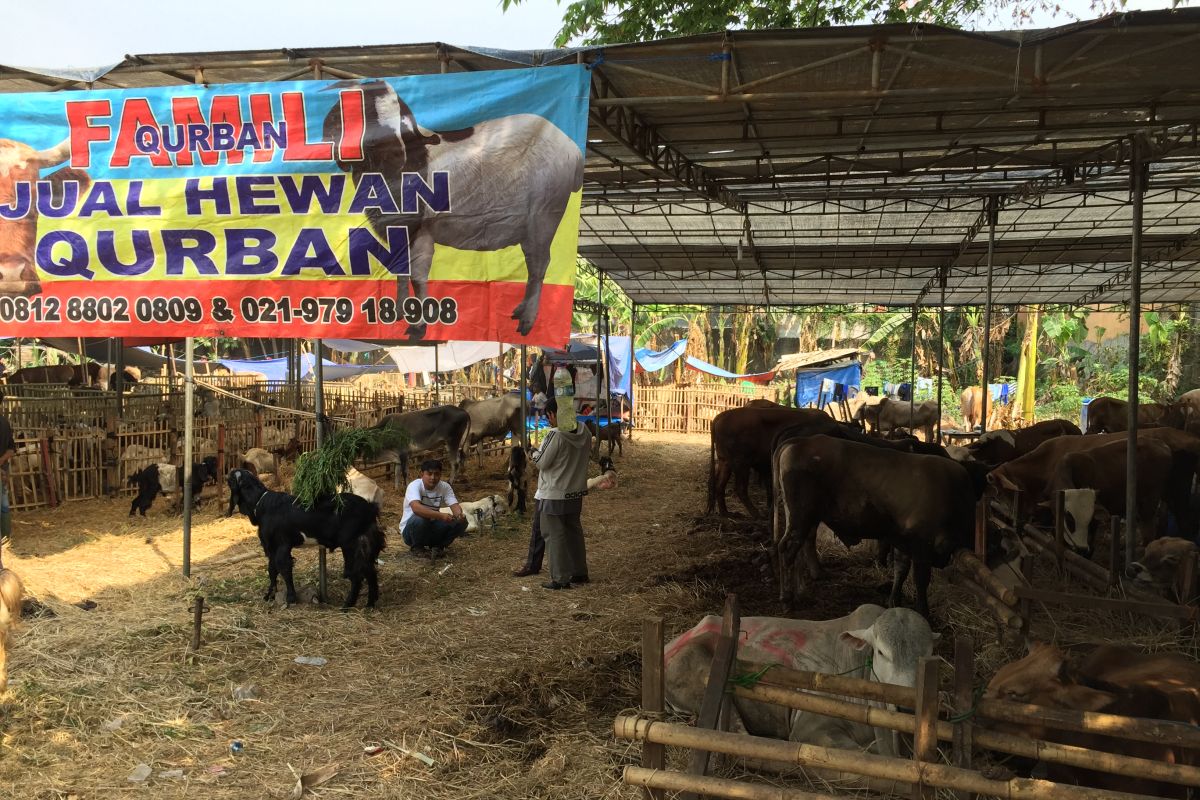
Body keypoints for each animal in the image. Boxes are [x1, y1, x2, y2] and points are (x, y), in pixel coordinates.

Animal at [226, 470, 386, 606]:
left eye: (230, 477)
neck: (260, 502)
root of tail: (370, 508)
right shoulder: (271, 547)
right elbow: (272, 569)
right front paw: (270, 595)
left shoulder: (280, 544)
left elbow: (283, 568)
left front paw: (290, 598)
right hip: (365, 543)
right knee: (370, 571)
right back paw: (370, 604)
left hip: (350, 544)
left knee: (356, 573)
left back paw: (347, 605)